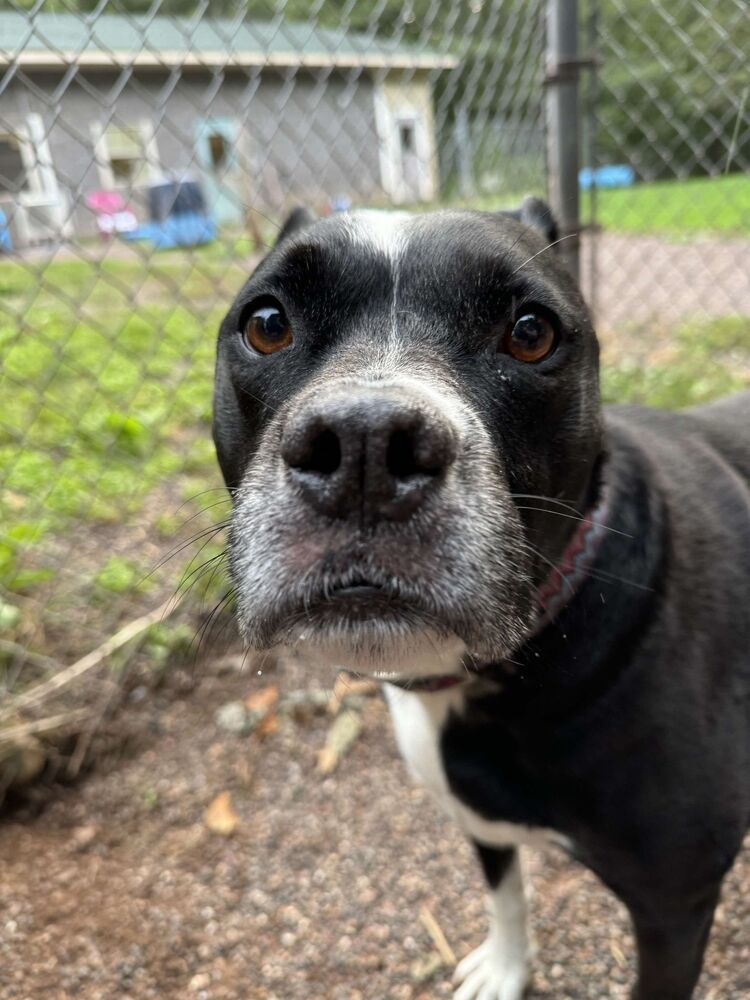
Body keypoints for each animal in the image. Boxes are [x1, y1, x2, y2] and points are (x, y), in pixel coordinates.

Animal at [213, 203, 750, 1000]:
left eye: (530, 333)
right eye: (268, 323)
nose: (366, 444)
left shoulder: (674, 907)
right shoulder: (480, 819)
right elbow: (506, 893)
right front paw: (504, 967)